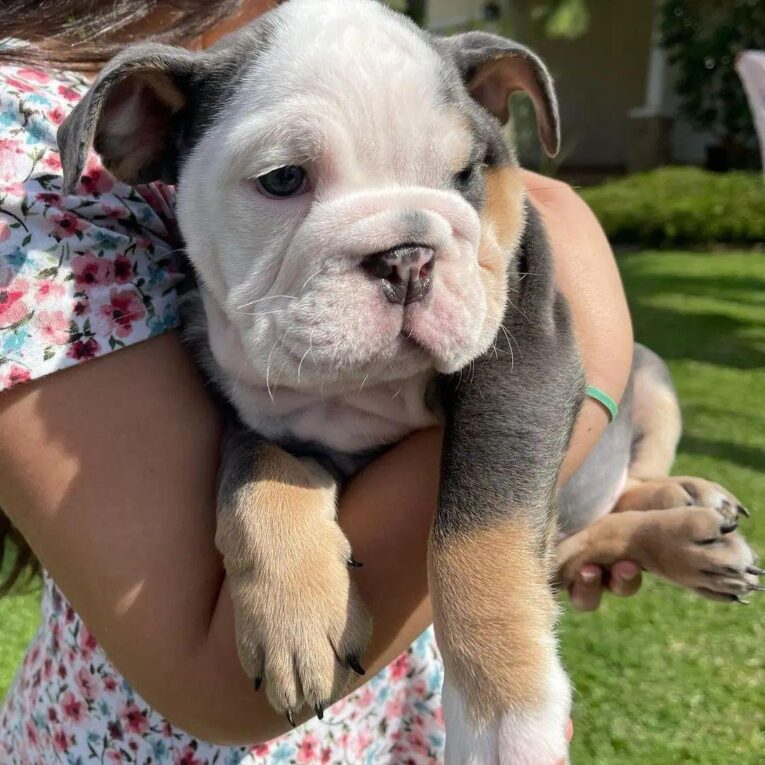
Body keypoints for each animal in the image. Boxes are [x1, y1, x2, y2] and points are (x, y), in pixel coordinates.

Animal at [56, 2, 756, 760]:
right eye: (282, 179)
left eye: (467, 172)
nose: (408, 256)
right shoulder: (255, 412)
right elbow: (256, 475)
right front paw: (293, 613)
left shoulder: (523, 363)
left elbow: (478, 536)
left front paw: (505, 719)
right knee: (574, 542)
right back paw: (691, 535)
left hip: (652, 377)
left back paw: (688, 507)